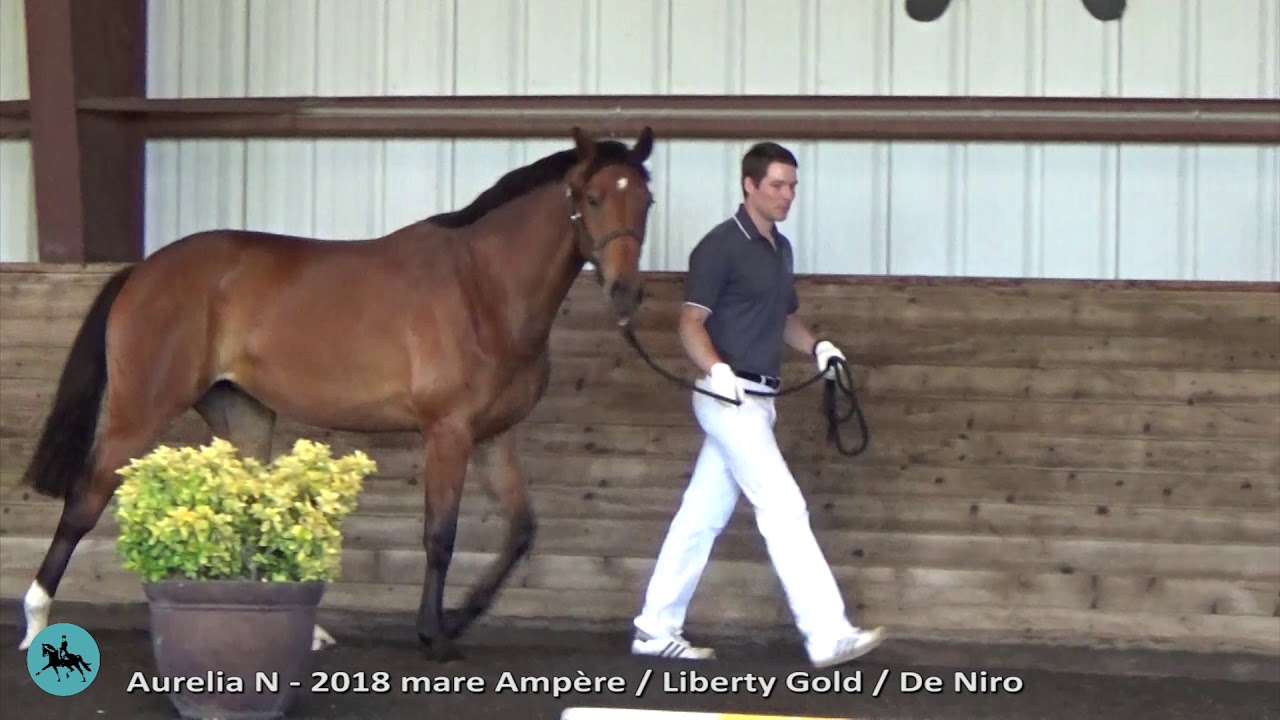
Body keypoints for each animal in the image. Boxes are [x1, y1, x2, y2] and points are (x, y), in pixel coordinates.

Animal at [16, 126, 657, 663]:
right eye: (592, 198)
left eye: (645, 202)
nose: (626, 293)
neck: (483, 287)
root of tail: (142, 271)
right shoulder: (447, 432)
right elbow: (440, 536)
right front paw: (434, 634)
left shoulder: (494, 436)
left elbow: (520, 531)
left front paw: (459, 618)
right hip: (140, 412)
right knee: (85, 499)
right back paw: (36, 618)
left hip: (242, 414)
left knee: (248, 506)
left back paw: (310, 631)